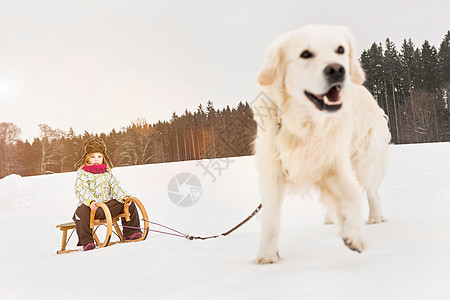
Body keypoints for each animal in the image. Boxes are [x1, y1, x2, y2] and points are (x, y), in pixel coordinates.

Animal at [253, 25, 390, 264]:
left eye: (340, 49)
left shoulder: (333, 162)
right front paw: (267, 256)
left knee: (372, 191)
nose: (337, 70)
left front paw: (353, 236)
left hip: (366, 160)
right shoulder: (273, 170)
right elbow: (270, 218)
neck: (305, 123)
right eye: (305, 54)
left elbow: (352, 196)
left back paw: (374, 218)